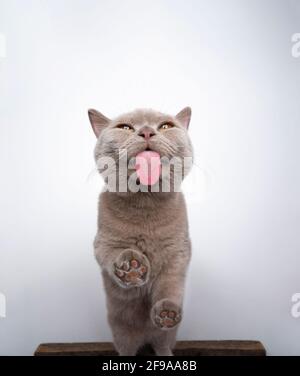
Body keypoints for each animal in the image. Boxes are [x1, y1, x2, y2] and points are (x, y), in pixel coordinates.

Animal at [88, 106, 193, 356]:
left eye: (166, 126)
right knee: (126, 348)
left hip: (166, 336)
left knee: (162, 344)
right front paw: (132, 267)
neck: (145, 202)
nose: (146, 131)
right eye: (125, 127)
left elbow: (169, 286)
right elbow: (112, 254)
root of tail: (145, 340)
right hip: (120, 330)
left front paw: (166, 311)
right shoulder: (103, 243)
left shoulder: (178, 253)